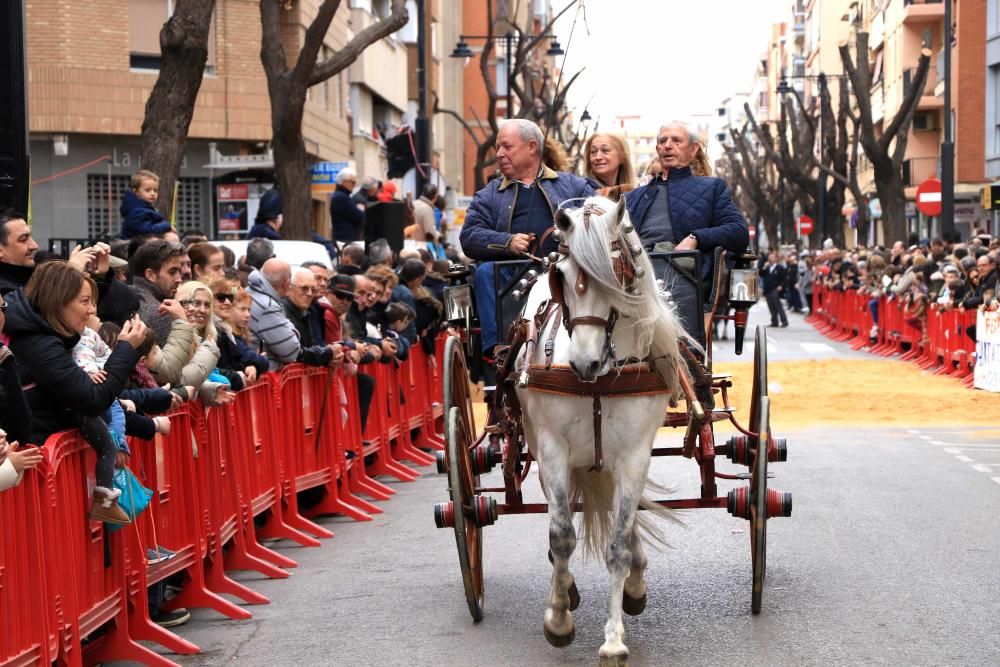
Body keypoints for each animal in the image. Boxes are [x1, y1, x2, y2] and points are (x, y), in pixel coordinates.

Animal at [512, 196, 692, 664]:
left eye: (617, 274)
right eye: (562, 276)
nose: (584, 363)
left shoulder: (633, 456)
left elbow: (619, 543)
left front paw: (613, 639)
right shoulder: (553, 450)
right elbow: (561, 535)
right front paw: (558, 619)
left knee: (624, 522)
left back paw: (635, 582)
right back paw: (565, 589)